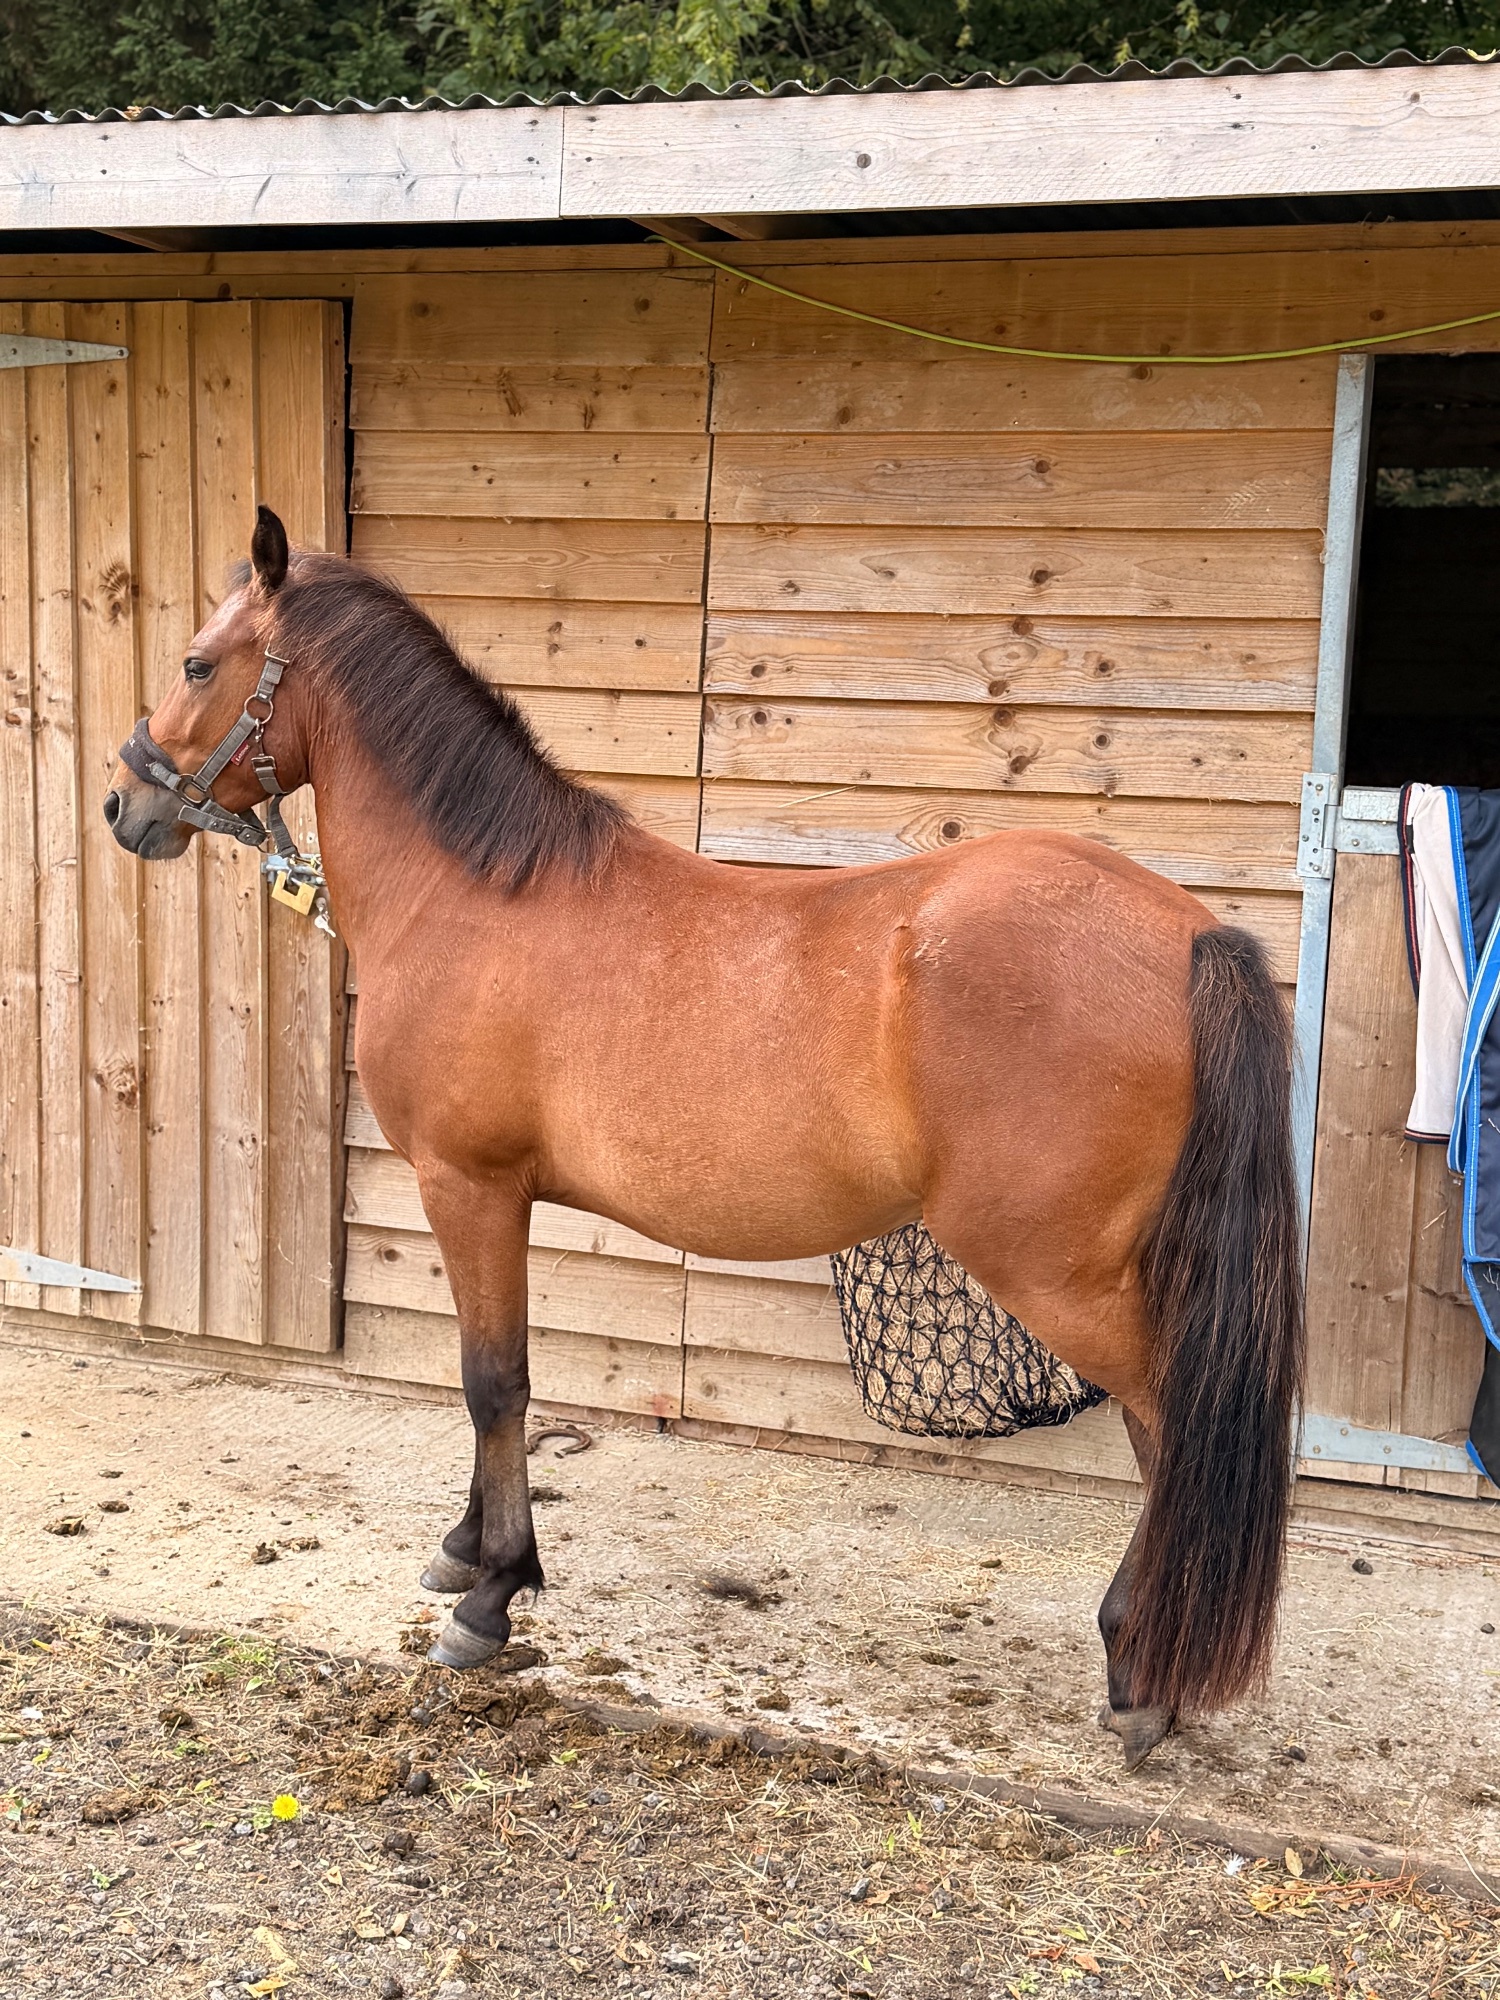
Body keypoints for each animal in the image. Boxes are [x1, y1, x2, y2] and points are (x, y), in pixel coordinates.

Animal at [105, 506, 1304, 1773]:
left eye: (197, 663)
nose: (126, 804)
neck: (477, 892)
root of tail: (1189, 931)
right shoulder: (489, 1195)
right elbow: (494, 1378)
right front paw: (466, 1546)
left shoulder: (468, 1185)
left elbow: (493, 1381)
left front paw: (492, 1595)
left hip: (1060, 1270)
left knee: (1171, 1423)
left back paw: (1141, 1669)